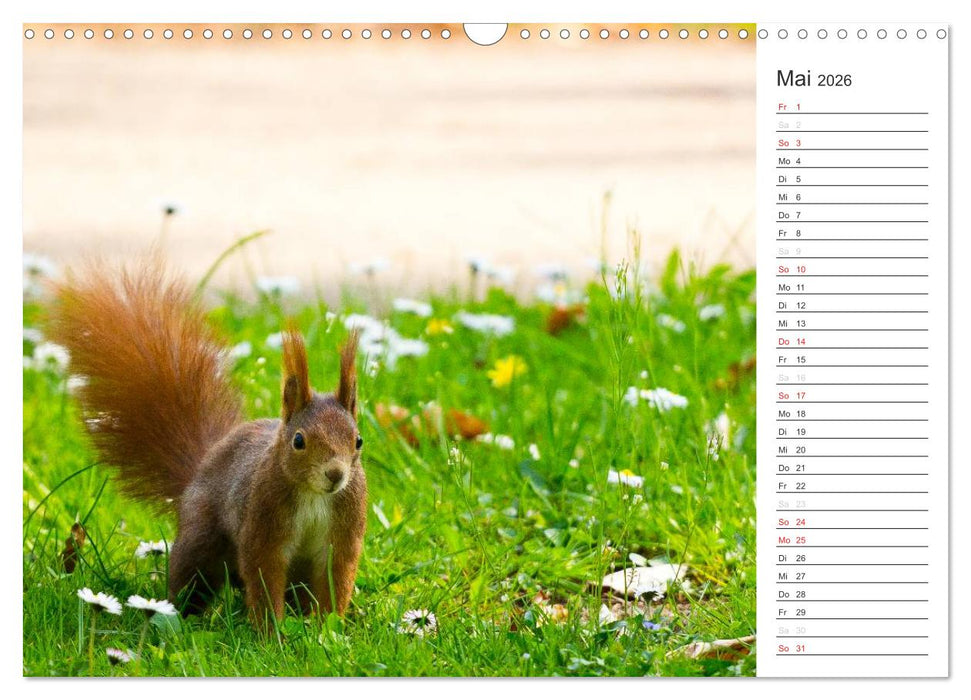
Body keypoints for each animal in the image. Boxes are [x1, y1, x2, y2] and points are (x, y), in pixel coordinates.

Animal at [45, 259, 367, 629]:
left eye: (358, 440)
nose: (335, 475)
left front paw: (328, 628)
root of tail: (202, 465)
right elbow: (265, 576)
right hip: (201, 540)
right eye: (299, 440)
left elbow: (335, 581)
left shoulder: (343, 536)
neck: (314, 496)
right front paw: (271, 633)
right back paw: (179, 617)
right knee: (192, 581)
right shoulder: (263, 525)